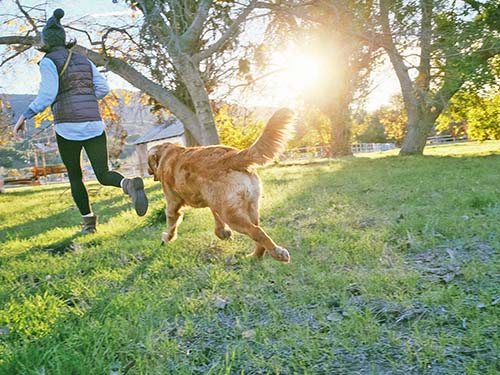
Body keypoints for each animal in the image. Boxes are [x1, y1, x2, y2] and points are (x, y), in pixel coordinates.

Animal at [146, 107, 294, 262]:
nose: (147, 171)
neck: (166, 153)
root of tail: (232, 156)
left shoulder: (173, 203)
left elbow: (171, 223)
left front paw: (167, 237)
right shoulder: (212, 201)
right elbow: (215, 216)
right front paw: (223, 232)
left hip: (232, 216)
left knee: (257, 231)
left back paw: (277, 253)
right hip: (249, 206)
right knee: (258, 234)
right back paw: (255, 256)